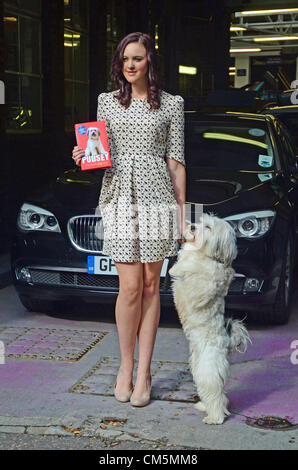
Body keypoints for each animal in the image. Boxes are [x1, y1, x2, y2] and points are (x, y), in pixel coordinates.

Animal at [169, 214, 250, 426]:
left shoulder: (202, 288)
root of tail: (226, 342)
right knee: (216, 394)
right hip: (198, 370)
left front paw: (179, 267)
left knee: (216, 395)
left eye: (208, 227)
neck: (203, 254)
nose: (192, 227)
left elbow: (193, 269)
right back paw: (204, 406)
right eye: (200, 221)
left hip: (209, 370)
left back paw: (215, 417)